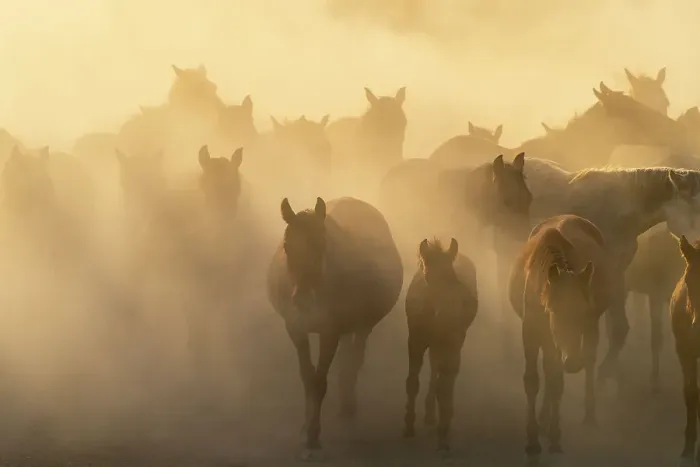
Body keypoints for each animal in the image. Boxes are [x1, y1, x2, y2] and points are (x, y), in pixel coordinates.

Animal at [266, 196, 403, 458]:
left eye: (321, 245)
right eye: (287, 247)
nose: (303, 300)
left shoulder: (330, 332)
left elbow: (320, 382)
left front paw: (313, 434)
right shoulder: (296, 329)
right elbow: (308, 377)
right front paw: (305, 427)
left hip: (362, 326)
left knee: (354, 360)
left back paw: (348, 405)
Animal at [403, 238, 478, 455]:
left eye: (452, 275)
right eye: (428, 275)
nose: (449, 313)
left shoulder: (452, 345)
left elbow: (444, 387)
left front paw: (443, 436)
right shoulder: (415, 341)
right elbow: (412, 382)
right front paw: (408, 426)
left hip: (449, 346)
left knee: (442, 378)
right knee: (435, 371)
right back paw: (429, 415)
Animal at [509, 215, 609, 462]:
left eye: (583, 310)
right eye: (553, 310)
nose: (572, 362)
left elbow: (556, 382)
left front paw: (555, 438)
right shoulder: (531, 331)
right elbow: (533, 380)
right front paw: (532, 440)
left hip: (587, 331)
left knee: (588, 361)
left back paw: (589, 415)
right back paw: (543, 420)